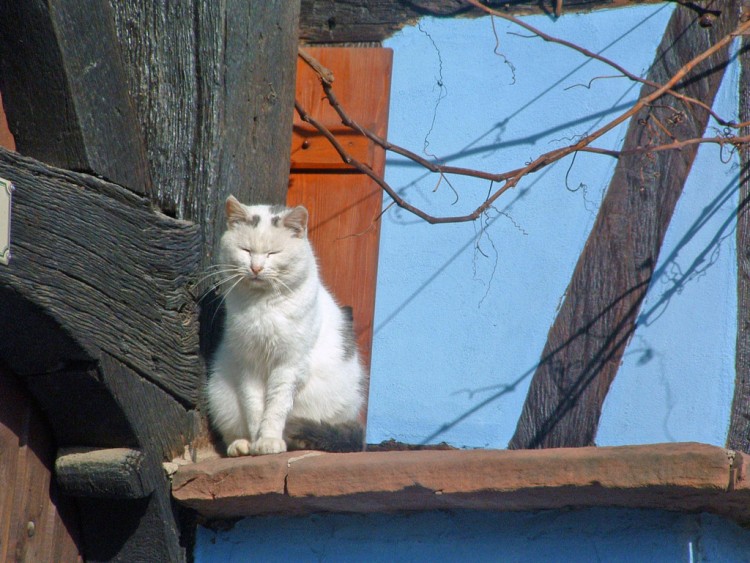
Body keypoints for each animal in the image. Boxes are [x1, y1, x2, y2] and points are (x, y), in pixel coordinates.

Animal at [207, 196, 366, 456]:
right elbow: (255, 409)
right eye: (246, 250)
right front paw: (256, 443)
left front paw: (269, 441)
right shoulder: (248, 365)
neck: (262, 306)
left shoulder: (290, 364)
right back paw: (241, 446)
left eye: (273, 253)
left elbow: (275, 408)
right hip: (220, 396)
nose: (256, 268)